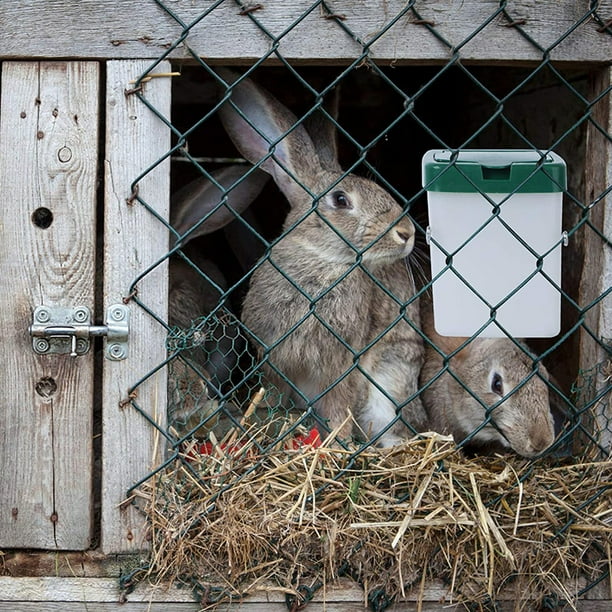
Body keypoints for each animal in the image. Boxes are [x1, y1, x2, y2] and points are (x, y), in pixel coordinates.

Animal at [219, 70, 426, 444]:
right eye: (340, 200)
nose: (407, 233)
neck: (323, 260)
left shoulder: (345, 363)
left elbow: (340, 401)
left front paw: (337, 440)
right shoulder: (274, 358)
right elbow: (275, 391)